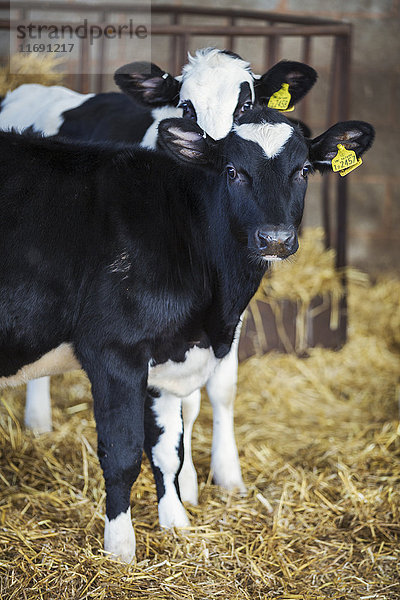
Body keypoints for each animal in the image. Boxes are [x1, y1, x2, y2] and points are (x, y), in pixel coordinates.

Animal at [0, 49, 318, 506]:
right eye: (186, 107)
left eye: (245, 105)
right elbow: (183, 405)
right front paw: (187, 487)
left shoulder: (228, 313)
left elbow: (221, 391)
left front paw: (228, 477)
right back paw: (39, 421)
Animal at [0, 109, 376, 564]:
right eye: (232, 171)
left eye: (303, 169)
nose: (275, 239)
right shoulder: (114, 351)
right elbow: (123, 452)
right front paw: (121, 548)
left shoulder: (165, 359)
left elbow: (168, 450)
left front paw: (176, 523)